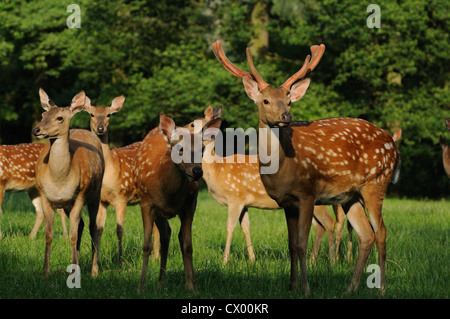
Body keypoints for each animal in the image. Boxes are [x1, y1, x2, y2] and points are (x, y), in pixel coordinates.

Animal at [32, 89, 104, 278]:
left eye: (59, 118)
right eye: (43, 115)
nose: (36, 129)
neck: (60, 181)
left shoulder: (80, 196)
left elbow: (72, 236)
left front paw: (77, 273)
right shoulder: (45, 196)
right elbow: (49, 234)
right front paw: (45, 272)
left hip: (96, 194)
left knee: (94, 227)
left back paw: (93, 270)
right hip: (67, 204)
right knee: (82, 225)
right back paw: (74, 266)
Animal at [82, 96, 142, 264]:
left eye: (109, 115)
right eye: (92, 114)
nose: (100, 128)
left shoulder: (122, 197)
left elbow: (119, 229)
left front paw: (120, 260)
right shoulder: (102, 201)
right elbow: (98, 230)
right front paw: (96, 259)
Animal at [136, 114, 222, 294]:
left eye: (202, 149)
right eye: (180, 149)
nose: (197, 171)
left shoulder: (189, 206)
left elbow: (188, 245)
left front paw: (192, 287)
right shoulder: (146, 203)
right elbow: (146, 245)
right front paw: (141, 287)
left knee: (173, 236)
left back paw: (168, 282)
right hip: (157, 211)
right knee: (165, 235)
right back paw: (161, 283)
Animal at [212, 41, 400, 296]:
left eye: (289, 100)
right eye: (266, 101)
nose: (286, 116)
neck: (282, 167)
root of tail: (394, 146)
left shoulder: (308, 193)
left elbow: (302, 243)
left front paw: (306, 288)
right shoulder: (287, 202)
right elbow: (291, 244)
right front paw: (291, 287)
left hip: (376, 183)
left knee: (381, 231)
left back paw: (381, 289)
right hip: (349, 196)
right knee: (366, 235)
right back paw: (349, 289)